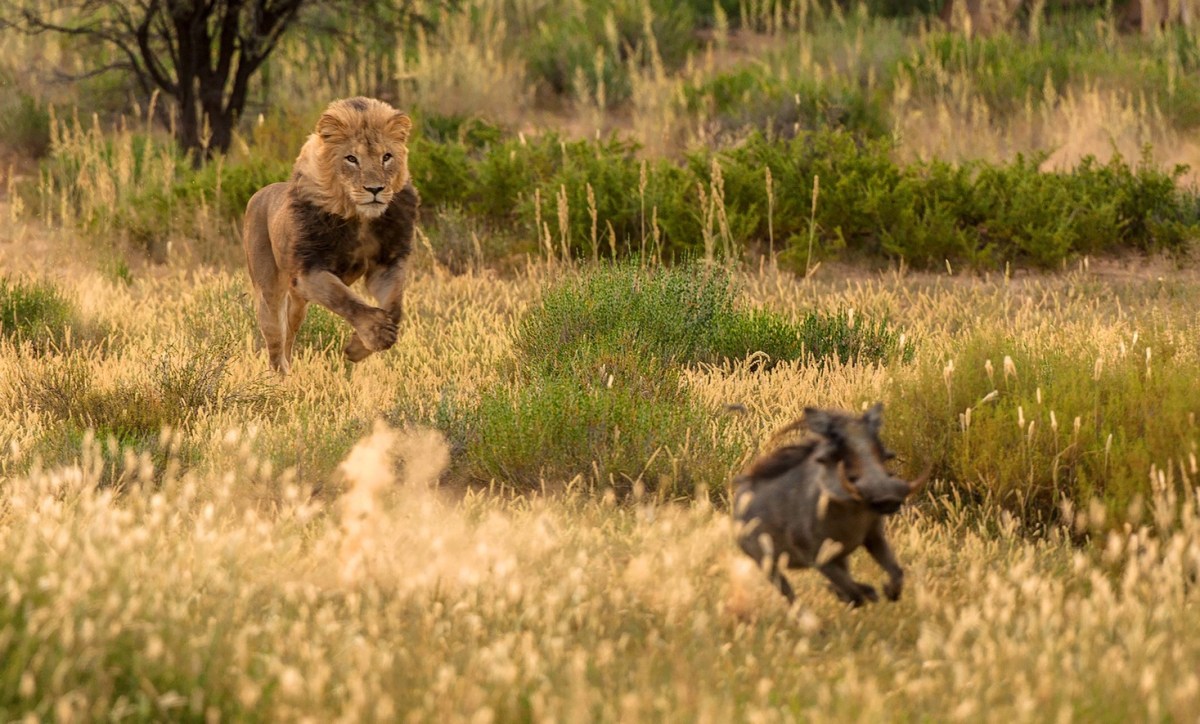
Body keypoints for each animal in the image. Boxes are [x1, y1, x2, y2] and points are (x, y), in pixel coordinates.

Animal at [241, 95, 420, 374]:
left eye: (387, 157)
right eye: (351, 159)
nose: (375, 189)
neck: (360, 217)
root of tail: (261, 191)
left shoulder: (387, 264)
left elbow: (394, 305)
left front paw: (360, 347)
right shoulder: (309, 271)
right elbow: (345, 299)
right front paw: (375, 334)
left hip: (297, 301)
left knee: (289, 335)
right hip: (269, 291)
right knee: (275, 341)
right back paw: (279, 378)